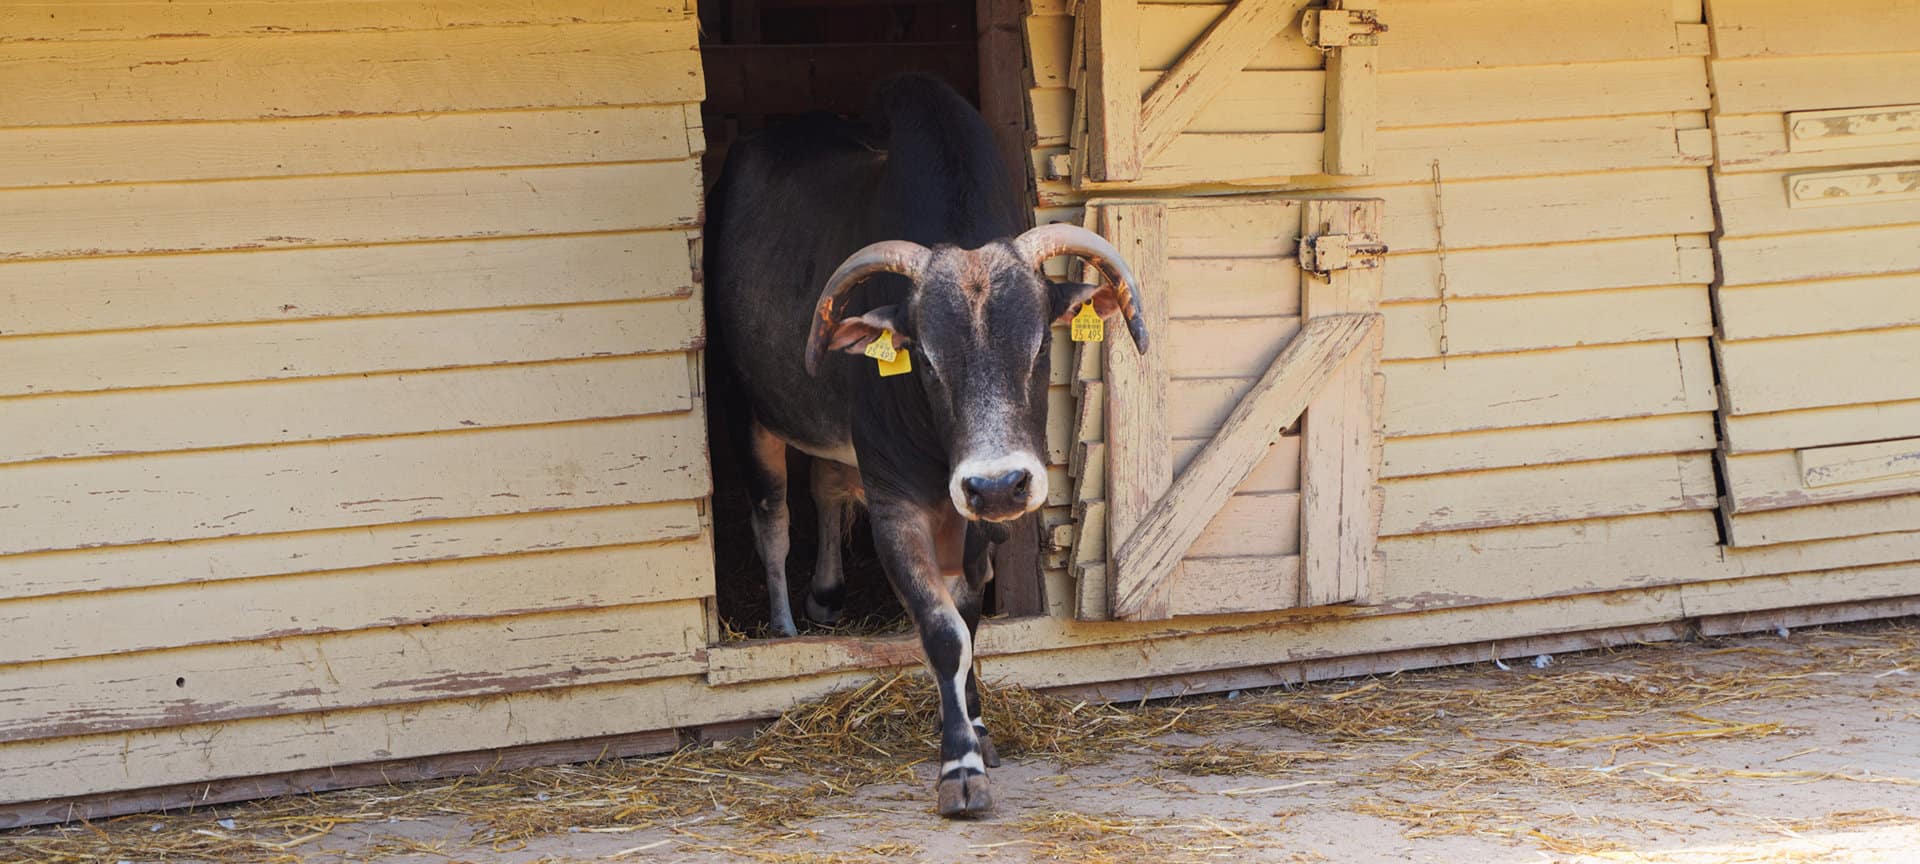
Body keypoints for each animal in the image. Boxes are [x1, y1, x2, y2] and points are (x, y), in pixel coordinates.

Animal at [710, 75, 1144, 817]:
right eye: (927, 362)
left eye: (1038, 350)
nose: (996, 485)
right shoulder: (898, 508)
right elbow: (943, 632)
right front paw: (959, 766)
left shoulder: (979, 523)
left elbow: (969, 617)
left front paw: (981, 729)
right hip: (751, 417)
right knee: (774, 520)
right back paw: (787, 627)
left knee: (826, 493)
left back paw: (826, 596)